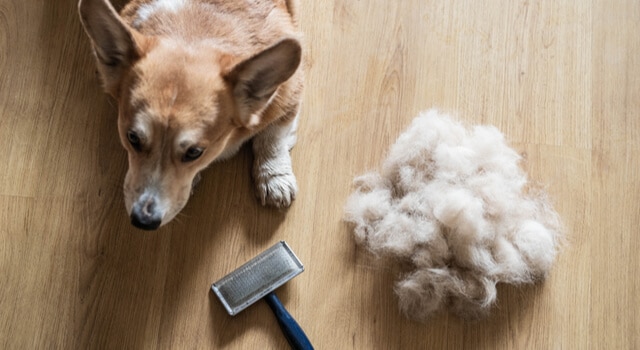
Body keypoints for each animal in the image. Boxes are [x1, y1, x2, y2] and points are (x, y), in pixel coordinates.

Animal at [77, 0, 302, 230]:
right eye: (132, 138)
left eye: (194, 152)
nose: (143, 220)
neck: (194, 32)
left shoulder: (290, 96)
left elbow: (273, 138)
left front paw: (275, 180)